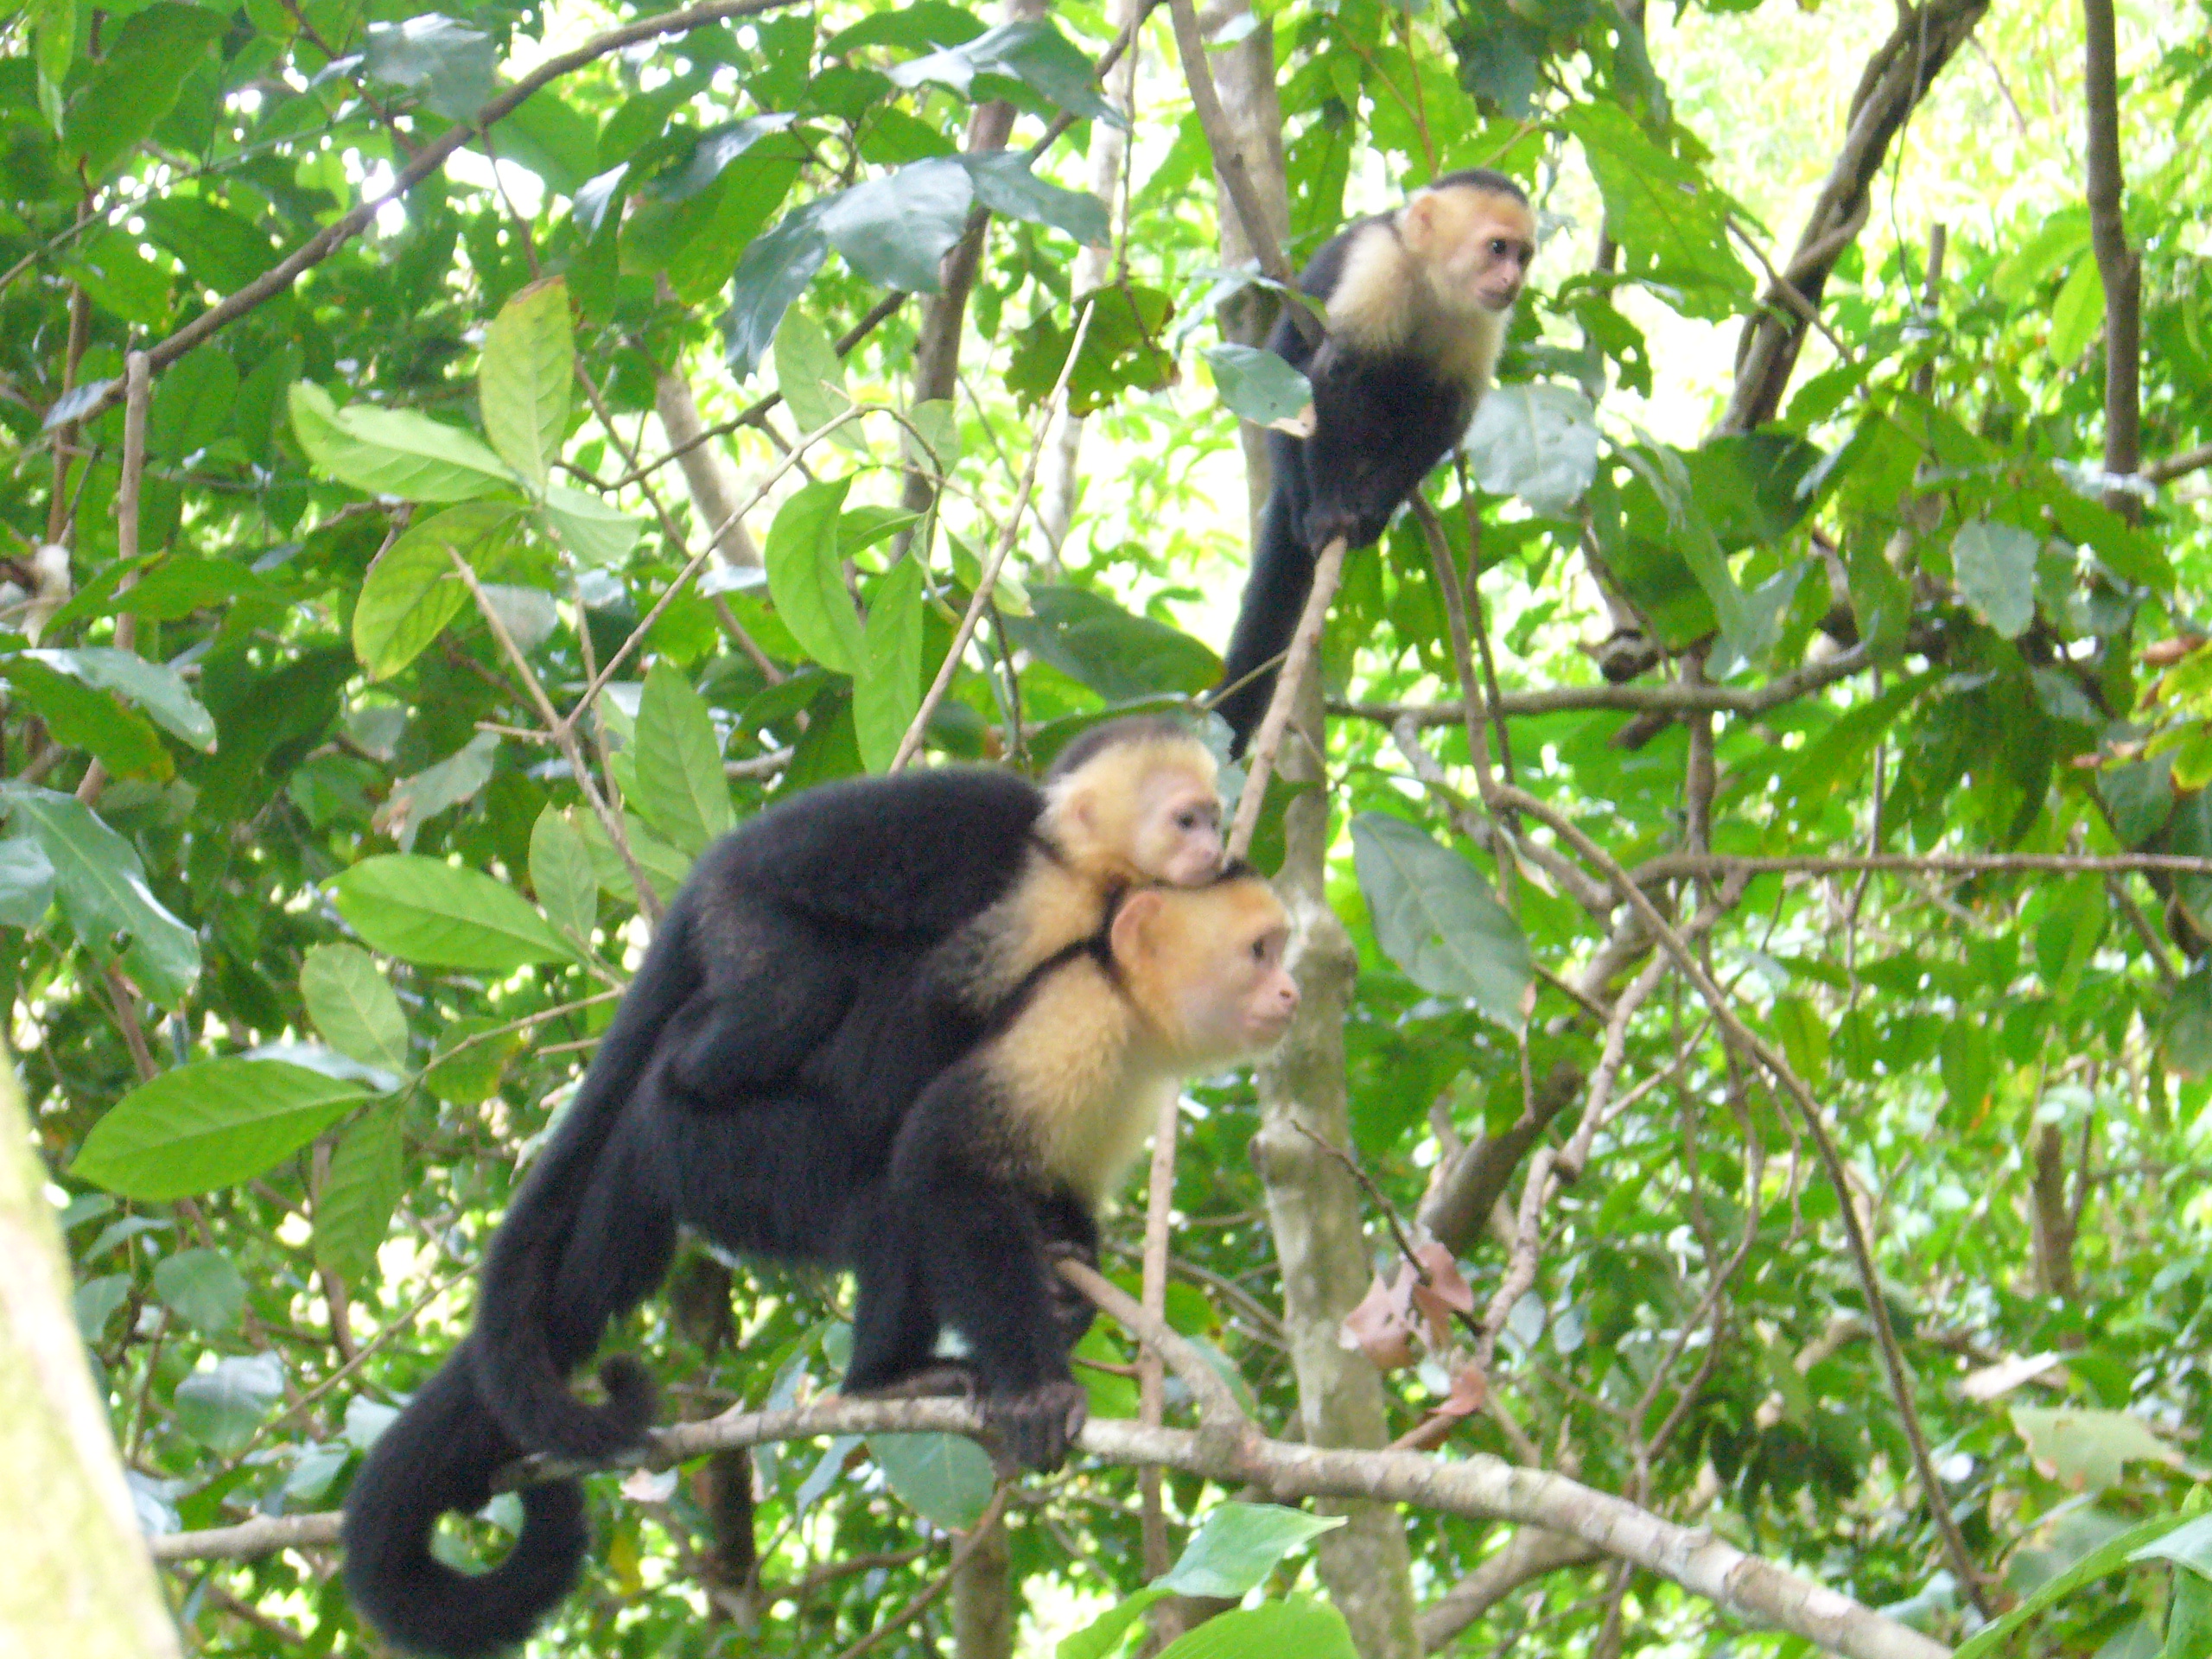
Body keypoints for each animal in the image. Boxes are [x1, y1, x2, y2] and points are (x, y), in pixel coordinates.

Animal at [340, 721, 1230, 1659]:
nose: (1215, 847)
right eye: (1186, 818)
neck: (1080, 874)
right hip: (739, 993)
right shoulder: (1009, 872)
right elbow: (926, 1032)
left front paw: (1066, 1249)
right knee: (798, 1003)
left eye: (1212, 817)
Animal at [844, 862, 1292, 1478]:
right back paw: (884, 1379)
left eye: (1278, 950)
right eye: (1259, 952)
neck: (1129, 1004)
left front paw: (1069, 1287)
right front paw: (1037, 1394)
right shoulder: (1075, 1011)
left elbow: (1062, 1186)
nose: (1291, 992)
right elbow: (944, 1157)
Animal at [1211, 166, 1539, 752]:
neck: (1431, 281)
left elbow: (1446, 418)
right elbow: (1331, 375)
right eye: (1497, 248)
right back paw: (1310, 510)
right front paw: (1332, 515)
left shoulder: (1481, 322)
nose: (1512, 282)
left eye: (1522, 256)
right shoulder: (1378, 264)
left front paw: (1371, 511)